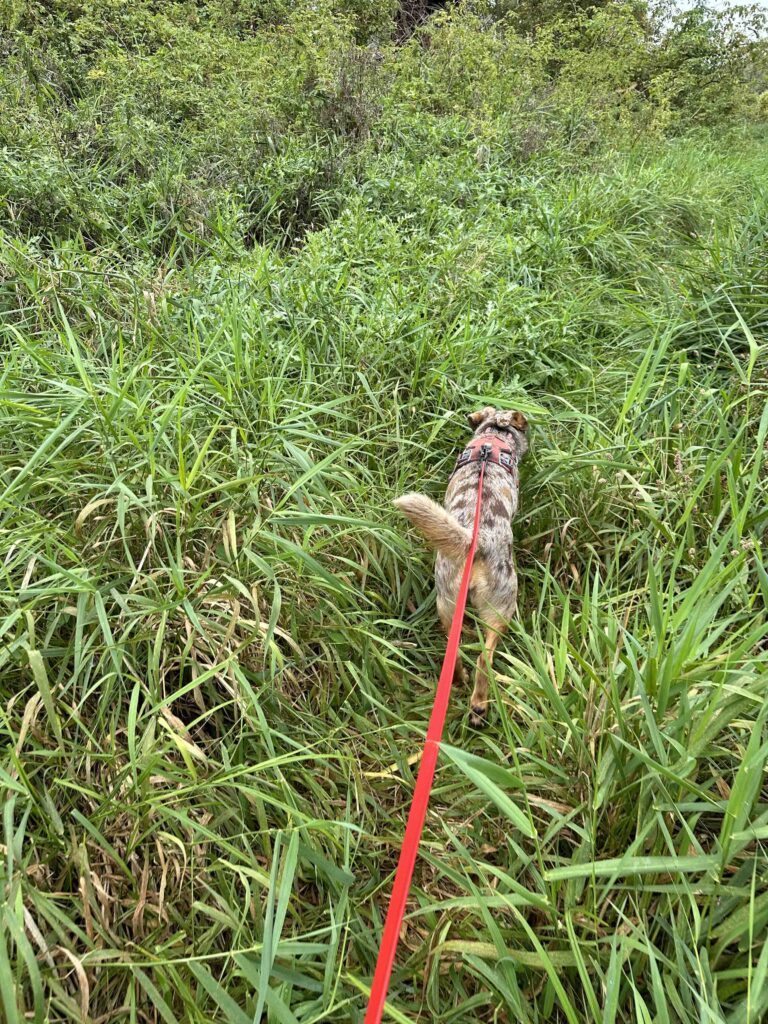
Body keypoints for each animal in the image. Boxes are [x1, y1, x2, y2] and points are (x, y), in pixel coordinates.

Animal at [397, 407, 528, 729]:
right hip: (502, 606)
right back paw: (479, 705)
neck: (492, 438)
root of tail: (475, 541)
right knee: (484, 658)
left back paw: (459, 680)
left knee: (453, 651)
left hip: (447, 601)